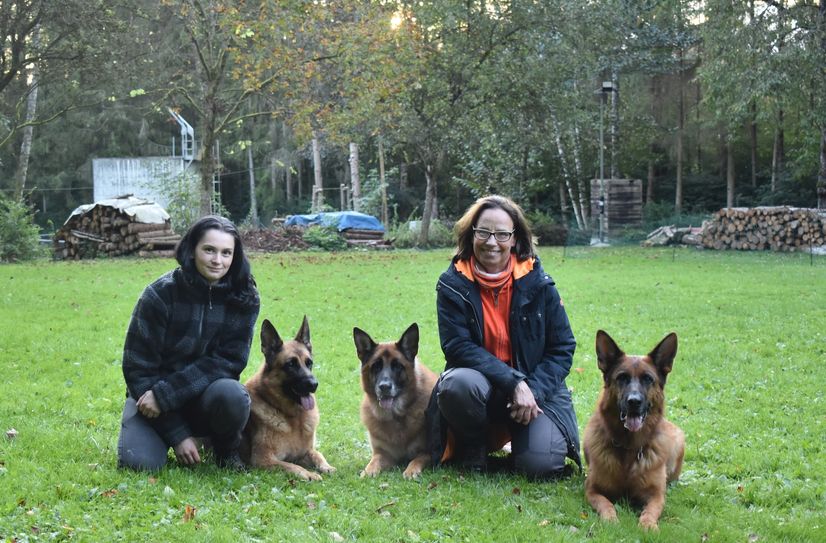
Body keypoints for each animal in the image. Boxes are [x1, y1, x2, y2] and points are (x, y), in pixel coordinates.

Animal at [237, 316, 334, 482]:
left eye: (309, 363)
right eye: (290, 364)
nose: (314, 384)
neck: (294, 417)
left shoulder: (304, 452)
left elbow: (317, 454)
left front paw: (326, 466)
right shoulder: (264, 459)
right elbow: (291, 466)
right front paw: (309, 474)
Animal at [350, 324, 438, 480]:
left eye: (397, 366)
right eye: (376, 366)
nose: (384, 387)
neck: (396, 417)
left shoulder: (428, 453)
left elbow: (417, 459)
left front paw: (411, 470)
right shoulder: (383, 454)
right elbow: (374, 461)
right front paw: (367, 471)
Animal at [580, 332, 684, 532]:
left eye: (648, 379)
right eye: (622, 377)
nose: (634, 401)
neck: (628, 447)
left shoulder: (656, 495)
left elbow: (650, 511)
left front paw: (648, 525)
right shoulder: (592, 490)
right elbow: (607, 504)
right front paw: (610, 520)